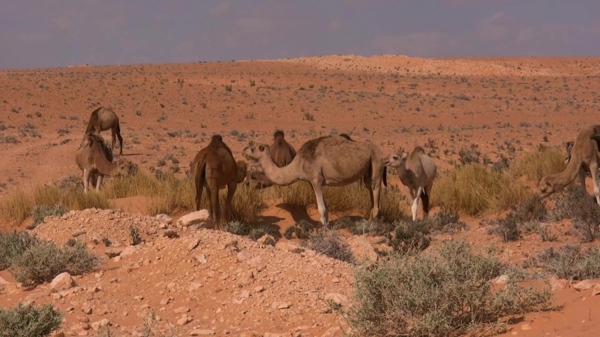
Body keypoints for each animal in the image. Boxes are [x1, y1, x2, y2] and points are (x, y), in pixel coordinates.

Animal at [244, 134, 390, 226]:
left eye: (252, 148)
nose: (243, 151)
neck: (298, 165)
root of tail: (382, 154)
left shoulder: (316, 180)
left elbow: (322, 209)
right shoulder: (312, 182)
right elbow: (326, 208)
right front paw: (327, 227)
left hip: (376, 164)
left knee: (375, 196)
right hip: (368, 171)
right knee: (370, 194)